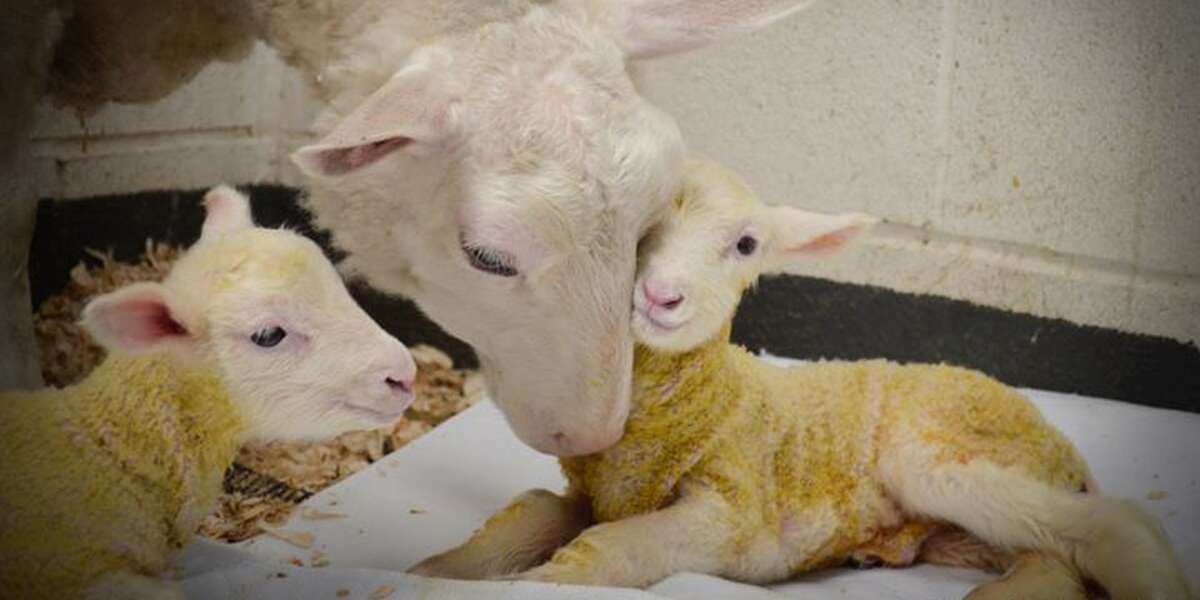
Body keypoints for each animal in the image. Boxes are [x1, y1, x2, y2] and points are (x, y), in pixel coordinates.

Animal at [411, 160, 1192, 600]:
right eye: (642, 226)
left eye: (746, 244)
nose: (661, 296)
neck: (719, 396)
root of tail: (1060, 443)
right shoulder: (588, 494)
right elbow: (524, 517)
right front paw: (437, 568)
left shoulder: (734, 512)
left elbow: (618, 549)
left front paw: (538, 582)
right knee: (1053, 557)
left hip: (944, 453)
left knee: (1108, 526)